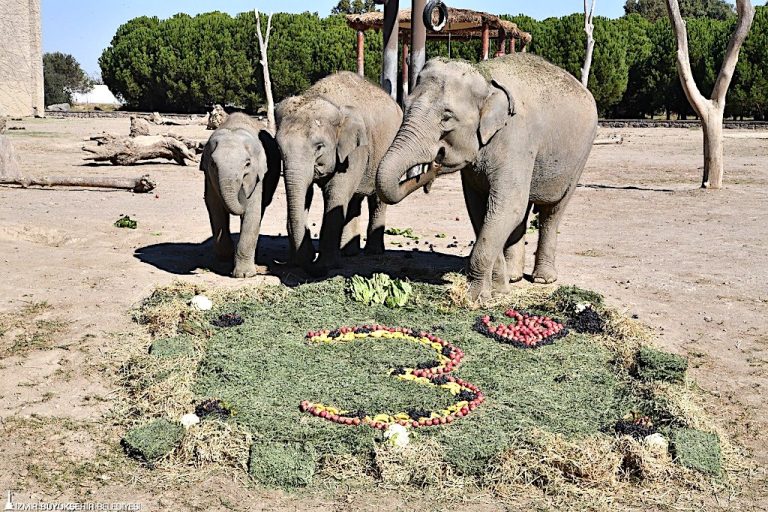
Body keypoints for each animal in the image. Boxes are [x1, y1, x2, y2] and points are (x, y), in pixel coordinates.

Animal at [200, 113, 280, 278]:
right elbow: (214, 207)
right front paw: (225, 256)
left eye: (247, 164)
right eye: (213, 164)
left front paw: (244, 275)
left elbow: (253, 211)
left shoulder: (259, 176)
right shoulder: (208, 177)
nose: (242, 190)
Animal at [278, 71, 408, 276]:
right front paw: (298, 261)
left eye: (319, 146)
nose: (311, 256)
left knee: (377, 199)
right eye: (278, 147)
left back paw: (373, 252)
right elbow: (306, 194)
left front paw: (325, 266)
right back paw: (349, 252)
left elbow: (335, 193)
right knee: (354, 199)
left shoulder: (355, 149)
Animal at [378, 55, 600, 304]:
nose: (435, 164)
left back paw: (543, 279)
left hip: (580, 157)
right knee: (522, 214)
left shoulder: (516, 140)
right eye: (405, 106)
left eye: (446, 116)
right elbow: (481, 209)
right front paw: (498, 290)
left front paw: (475, 299)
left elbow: (506, 206)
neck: (484, 77)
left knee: (552, 212)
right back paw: (513, 277)